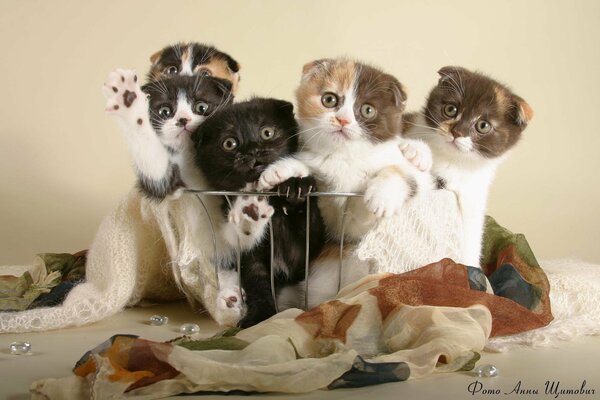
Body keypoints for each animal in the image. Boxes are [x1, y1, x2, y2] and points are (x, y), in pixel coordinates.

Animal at [192, 97, 326, 328]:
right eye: (229, 143)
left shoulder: (304, 253)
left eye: (267, 132)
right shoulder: (249, 256)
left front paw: (296, 187)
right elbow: (257, 284)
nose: (253, 150)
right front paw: (259, 315)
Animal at [404, 66, 536, 268]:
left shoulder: (473, 198)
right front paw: (416, 150)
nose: (456, 132)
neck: (454, 162)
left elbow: (471, 239)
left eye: (483, 125)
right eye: (451, 109)